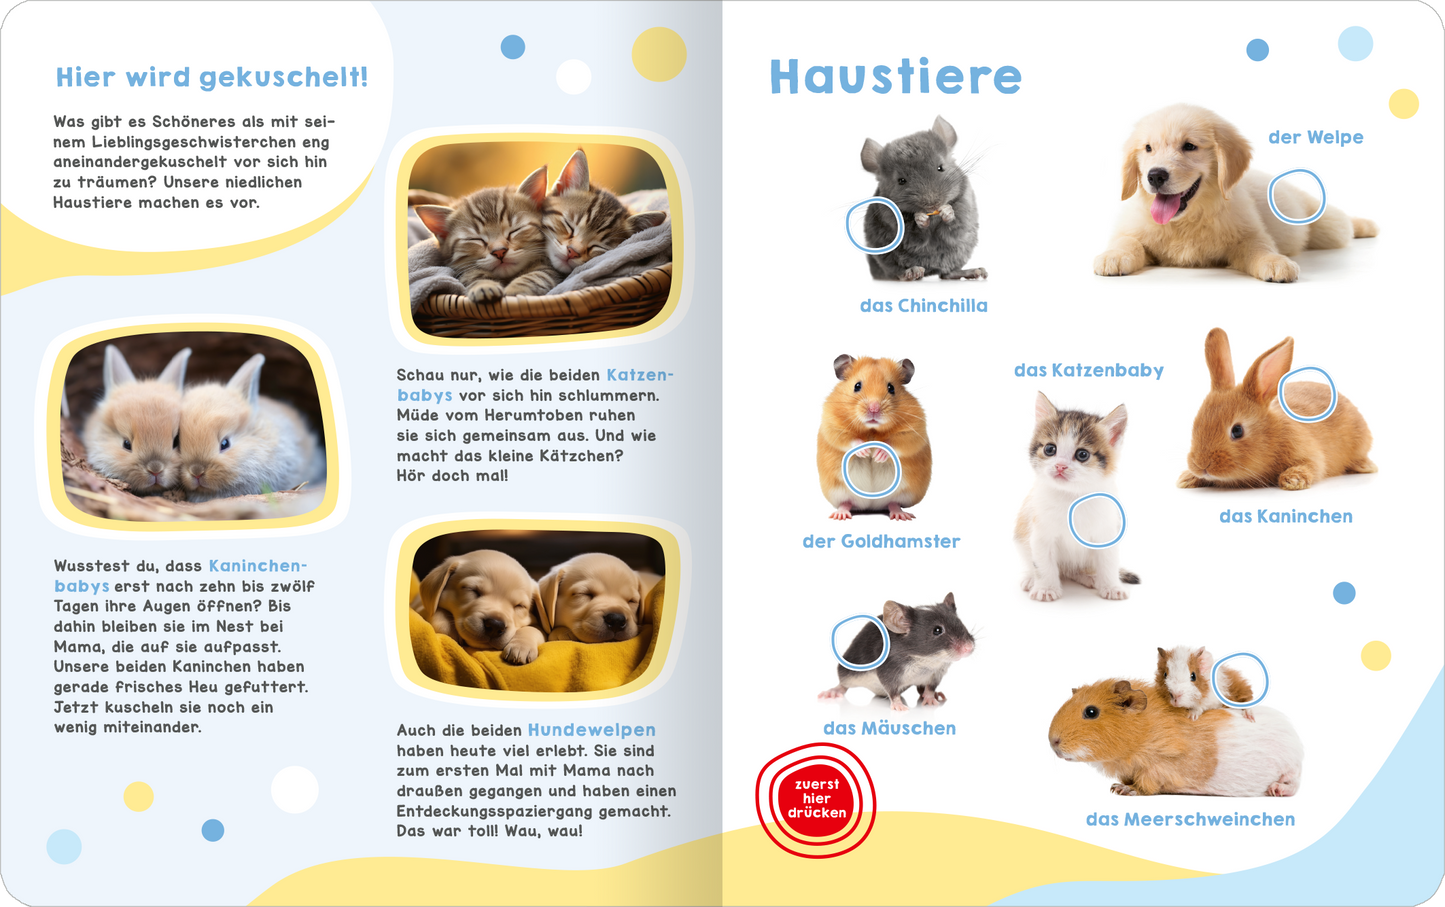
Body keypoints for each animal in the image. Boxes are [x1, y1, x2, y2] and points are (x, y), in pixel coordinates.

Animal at [861, 115, 986, 281]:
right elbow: (914, 236)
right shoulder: (892, 221)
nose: (933, 204)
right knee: (897, 274)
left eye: (940, 167)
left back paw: (974, 272)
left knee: (946, 274)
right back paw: (912, 272)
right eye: (901, 180)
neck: (933, 217)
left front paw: (947, 212)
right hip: (887, 259)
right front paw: (920, 219)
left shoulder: (965, 207)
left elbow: (956, 227)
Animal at [1177, 328, 1376, 491]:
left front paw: (1293, 480)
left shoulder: (1311, 455)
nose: (1202, 465)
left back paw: (1366, 466)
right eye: (1196, 425)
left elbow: (1312, 466)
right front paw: (1187, 479)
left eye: (1237, 431)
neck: (1272, 435)